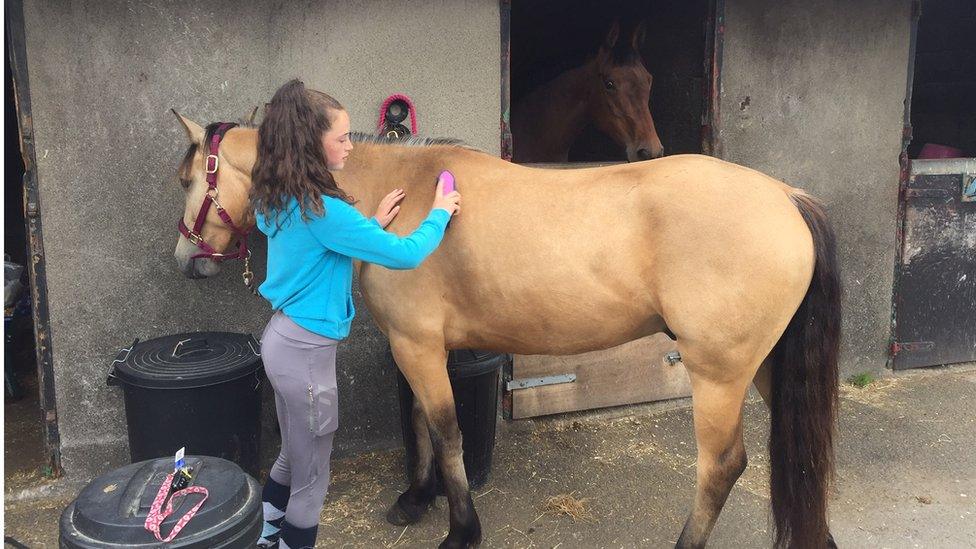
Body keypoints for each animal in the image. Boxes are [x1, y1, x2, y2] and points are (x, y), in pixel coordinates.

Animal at [173, 112, 840, 548]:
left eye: (189, 181)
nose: (187, 261)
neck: (404, 194)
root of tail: (786, 196)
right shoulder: (423, 348)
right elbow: (423, 423)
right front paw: (415, 500)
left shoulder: (416, 345)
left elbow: (446, 432)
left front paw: (460, 530)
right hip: (767, 366)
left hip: (719, 375)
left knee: (721, 466)